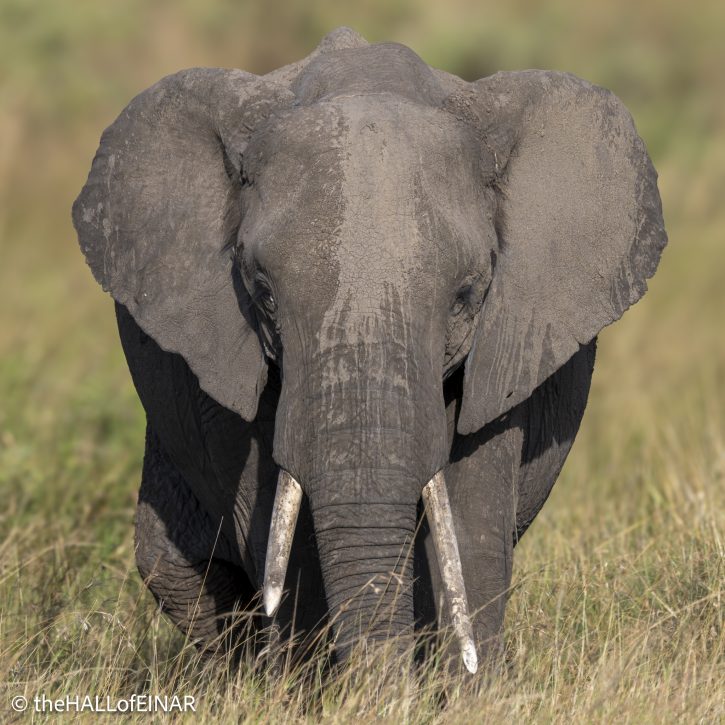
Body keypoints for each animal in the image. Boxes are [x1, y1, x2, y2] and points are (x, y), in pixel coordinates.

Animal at [72, 27, 666, 674]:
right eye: (264, 292)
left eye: (465, 297)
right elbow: (277, 517)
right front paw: (309, 682)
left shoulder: (510, 343)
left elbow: (470, 518)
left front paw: (465, 681)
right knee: (176, 573)